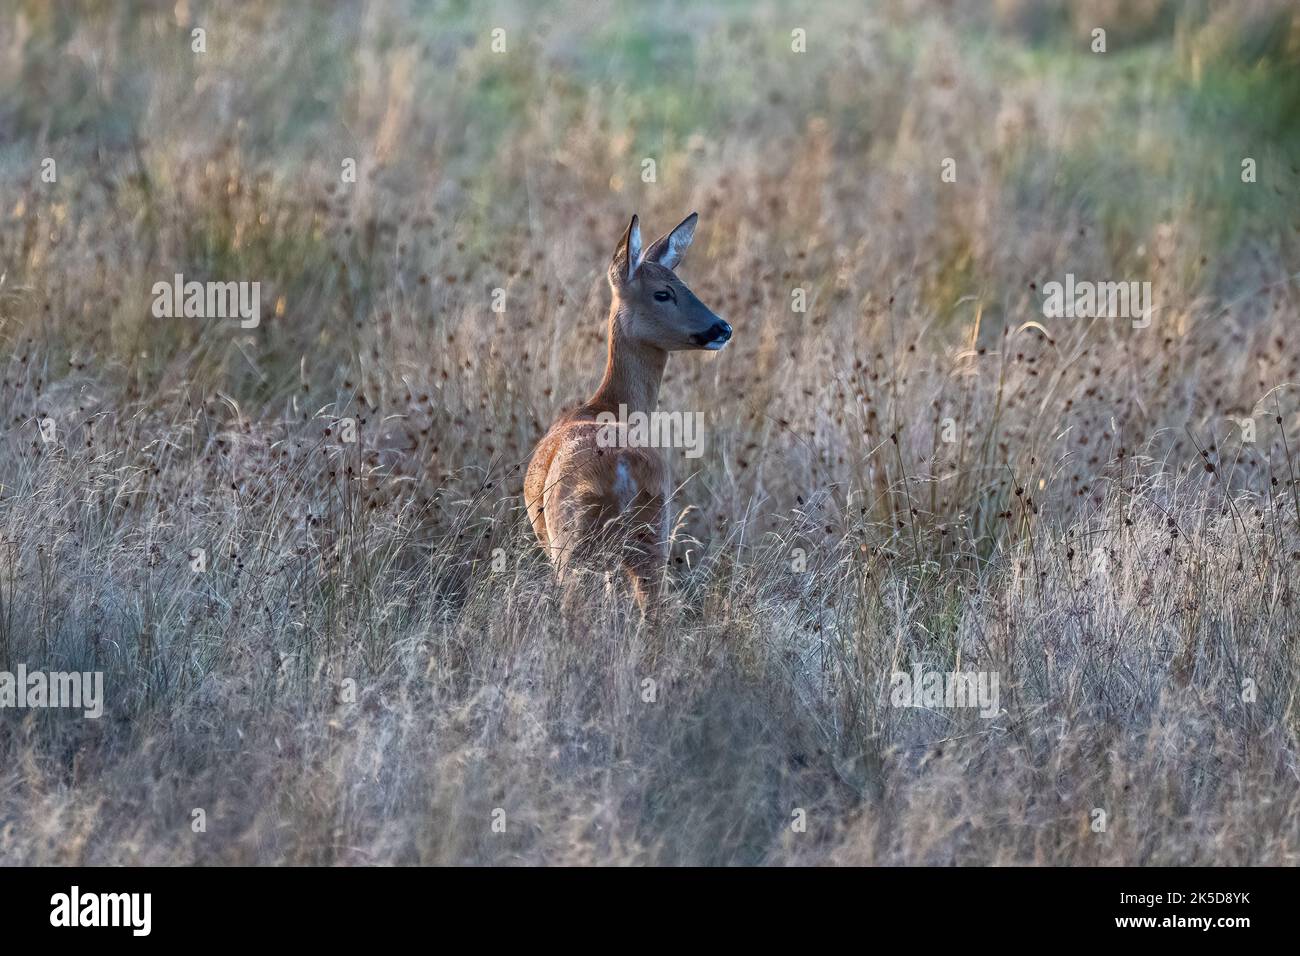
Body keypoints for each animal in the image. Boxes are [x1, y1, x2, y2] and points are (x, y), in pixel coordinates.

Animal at [524, 212, 731, 616]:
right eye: (664, 292)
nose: (722, 327)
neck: (609, 404)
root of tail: (622, 466)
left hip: (574, 545)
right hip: (651, 537)